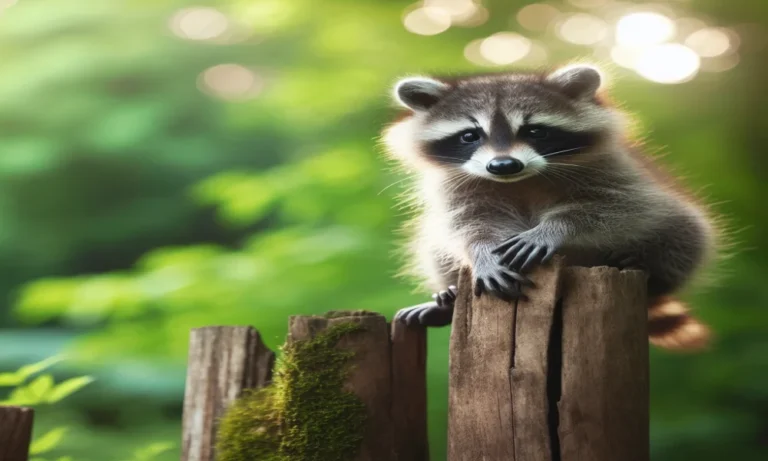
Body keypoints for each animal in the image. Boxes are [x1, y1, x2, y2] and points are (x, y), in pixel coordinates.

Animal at [383, 65, 716, 350]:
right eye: (469, 135)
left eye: (535, 131)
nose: (503, 165)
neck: (519, 180)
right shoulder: (456, 186)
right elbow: (469, 223)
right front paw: (483, 253)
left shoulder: (616, 170)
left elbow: (619, 206)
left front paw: (553, 229)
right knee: (433, 244)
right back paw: (449, 295)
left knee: (685, 229)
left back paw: (651, 271)